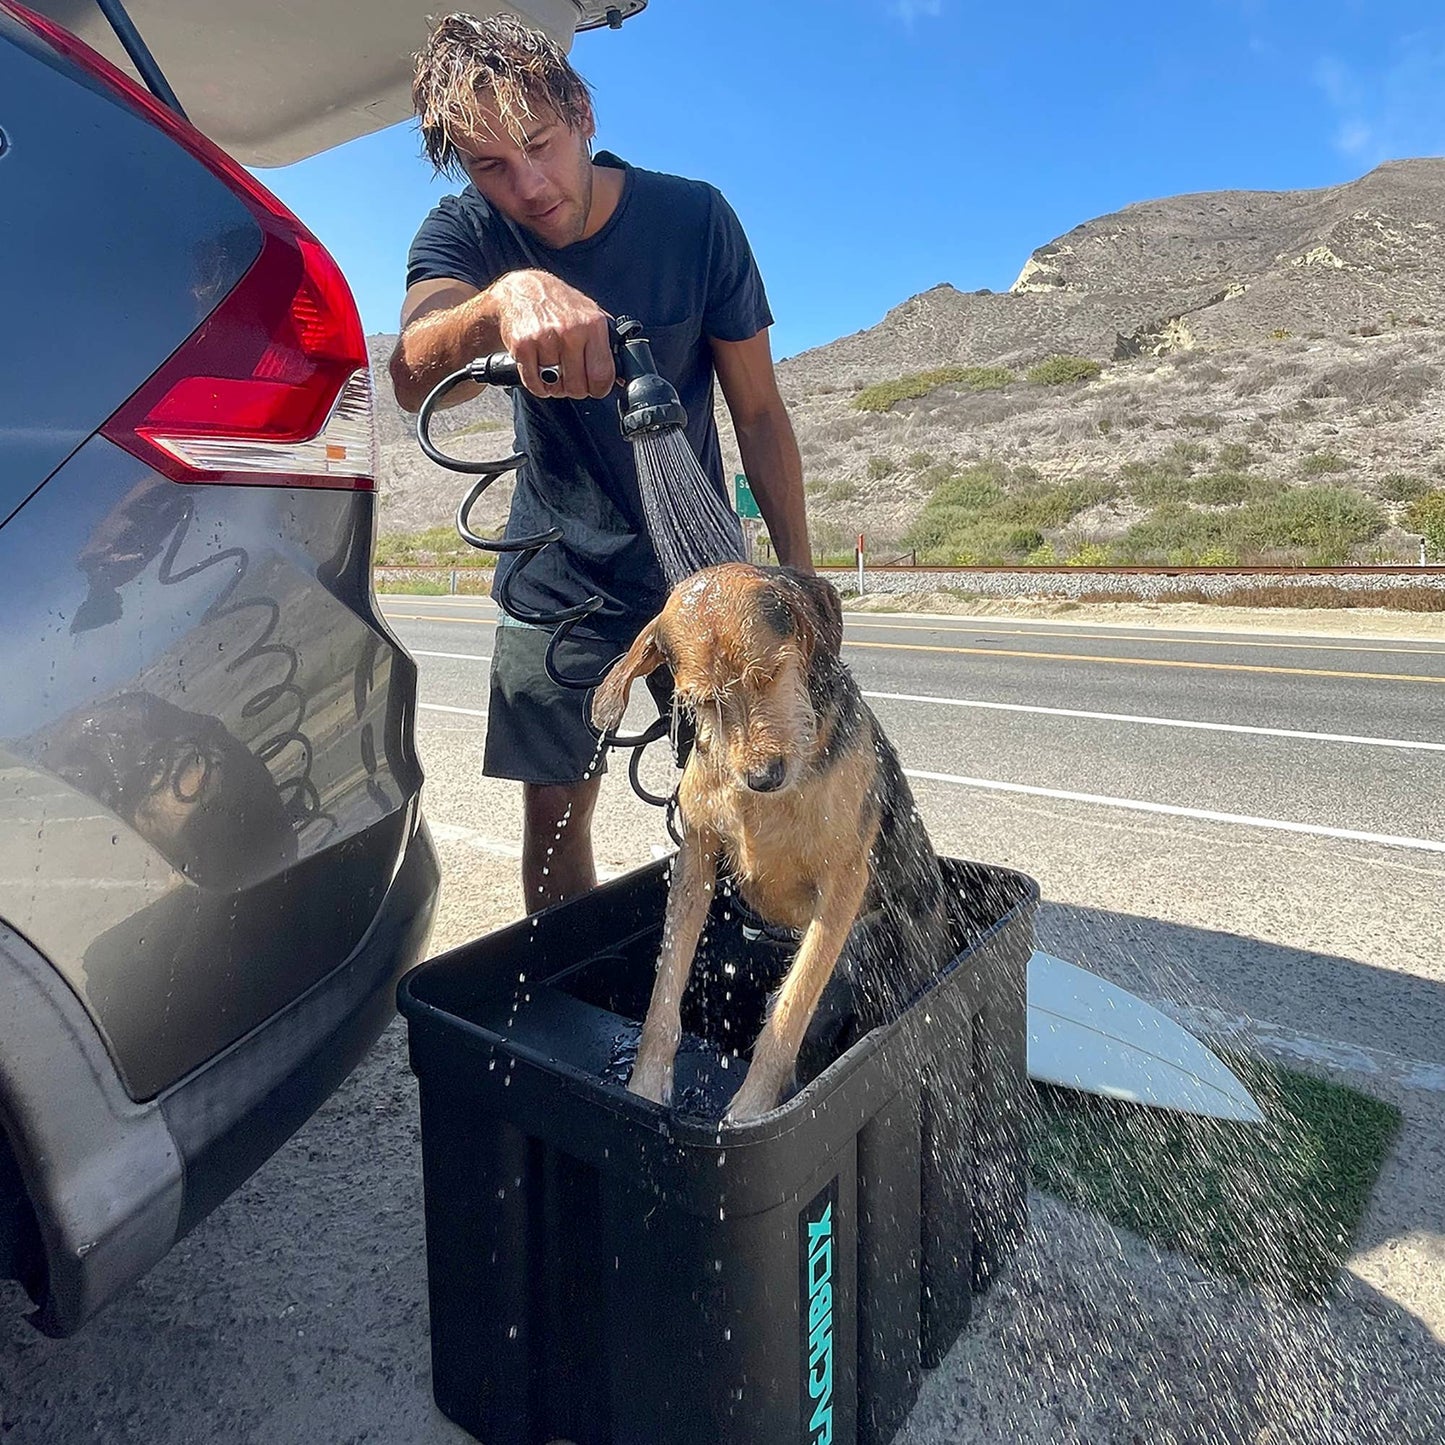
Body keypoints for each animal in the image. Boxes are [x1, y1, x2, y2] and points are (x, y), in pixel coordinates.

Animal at [586, 560, 947, 1115]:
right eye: (703, 701)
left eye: (770, 674)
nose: (763, 776)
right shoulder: (695, 859)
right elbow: (664, 995)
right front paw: (645, 1086)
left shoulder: (843, 882)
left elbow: (789, 1010)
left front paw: (752, 1110)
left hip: (877, 947)